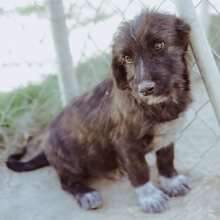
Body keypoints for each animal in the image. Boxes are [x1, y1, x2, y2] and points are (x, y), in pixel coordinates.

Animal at [6, 10, 192, 213]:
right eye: (127, 58)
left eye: (159, 45)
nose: (145, 89)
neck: (157, 105)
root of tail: (45, 148)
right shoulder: (125, 143)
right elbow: (139, 171)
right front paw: (149, 197)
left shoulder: (168, 134)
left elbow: (166, 159)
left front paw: (171, 181)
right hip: (69, 160)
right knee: (65, 182)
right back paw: (86, 194)